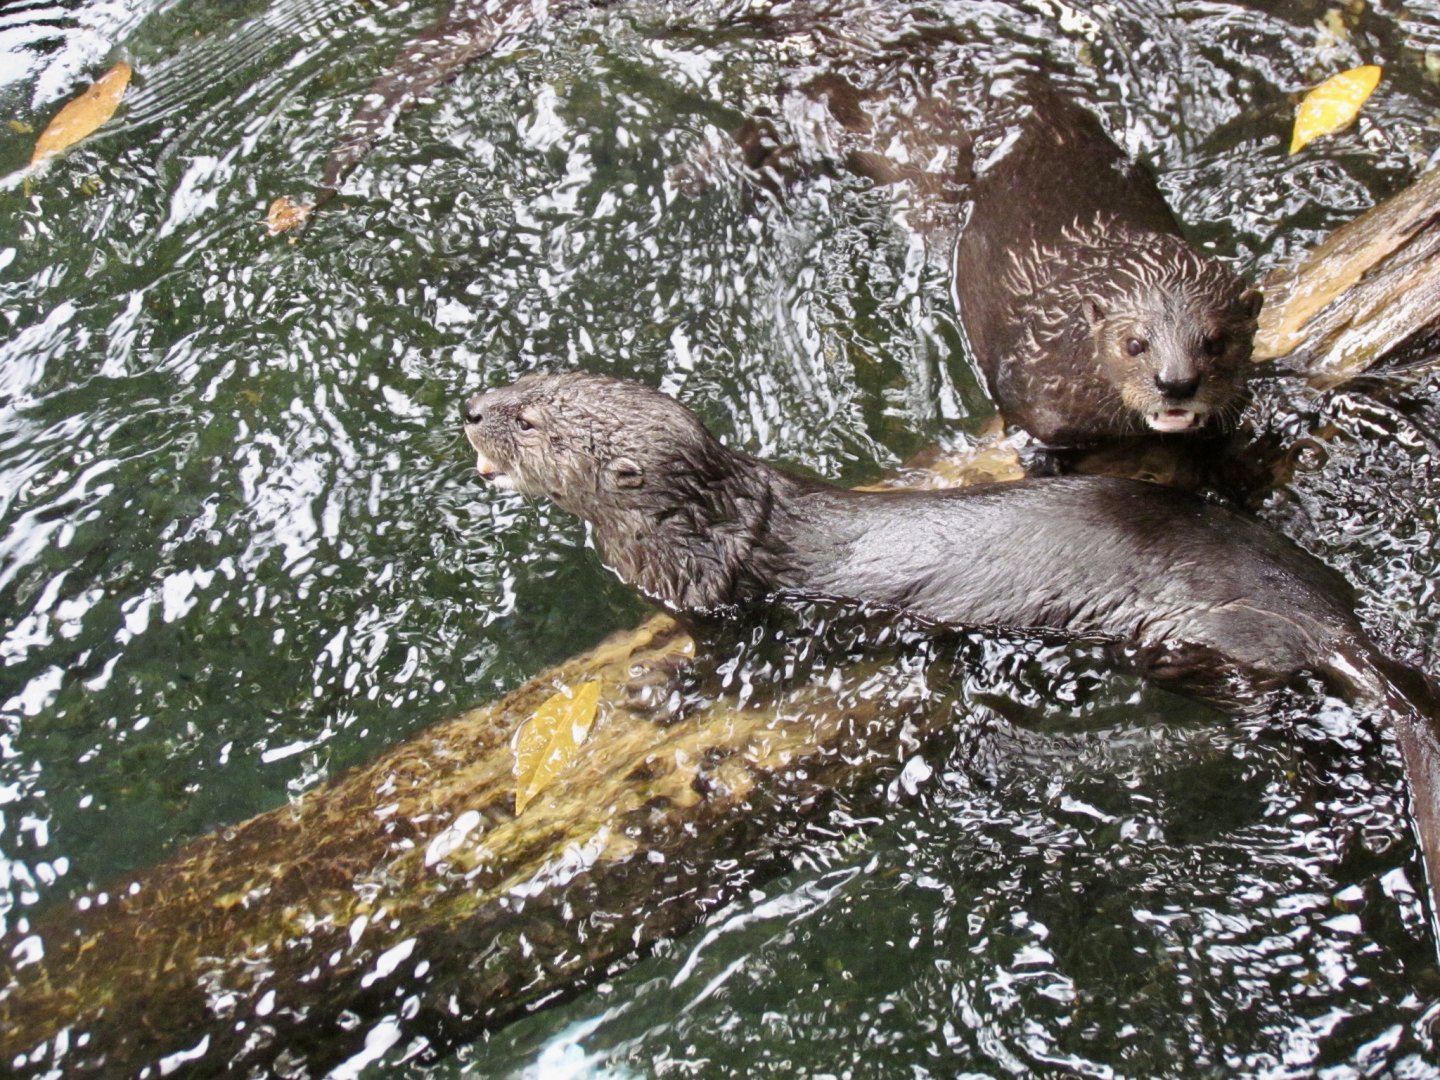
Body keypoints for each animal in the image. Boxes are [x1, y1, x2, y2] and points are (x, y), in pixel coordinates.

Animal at [463, 371, 1440, 929]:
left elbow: (716, 668)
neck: (716, 526)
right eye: (528, 378)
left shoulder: (724, 606)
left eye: (531, 421)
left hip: (1203, 643)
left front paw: (654, 692)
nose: (471, 408)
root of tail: (1324, 615)